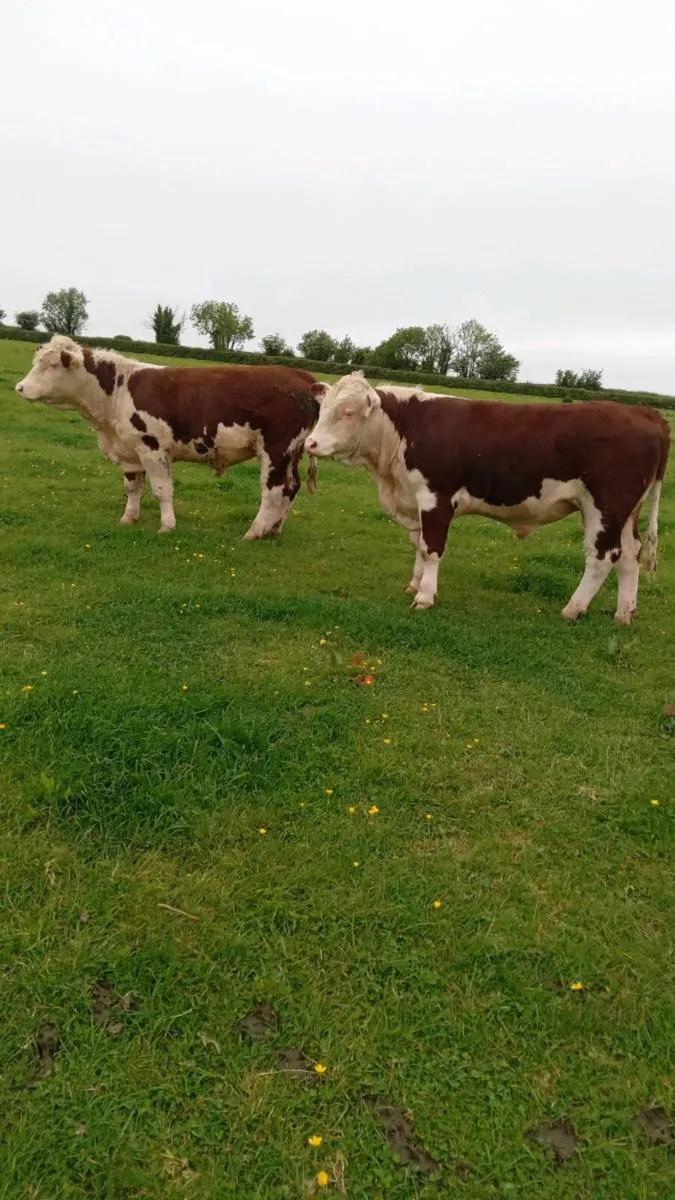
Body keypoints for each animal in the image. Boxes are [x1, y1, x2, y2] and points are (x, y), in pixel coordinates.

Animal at [16, 336, 319, 538]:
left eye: (52, 365)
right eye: (36, 362)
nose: (19, 387)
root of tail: (301, 375)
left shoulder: (152, 447)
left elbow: (162, 489)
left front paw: (167, 526)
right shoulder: (130, 450)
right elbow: (132, 487)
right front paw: (128, 518)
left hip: (276, 449)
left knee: (274, 491)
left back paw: (254, 532)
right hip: (292, 452)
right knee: (292, 487)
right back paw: (274, 529)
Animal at [305, 372, 670, 624]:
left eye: (348, 412)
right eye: (322, 409)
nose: (310, 443)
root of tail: (645, 412)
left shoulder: (436, 498)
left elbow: (431, 549)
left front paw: (425, 596)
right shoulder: (415, 500)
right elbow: (419, 546)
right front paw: (414, 583)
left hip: (604, 505)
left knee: (603, 556)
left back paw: (573, 608)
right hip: (625, 510)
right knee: (630, 555)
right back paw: (624, 613)